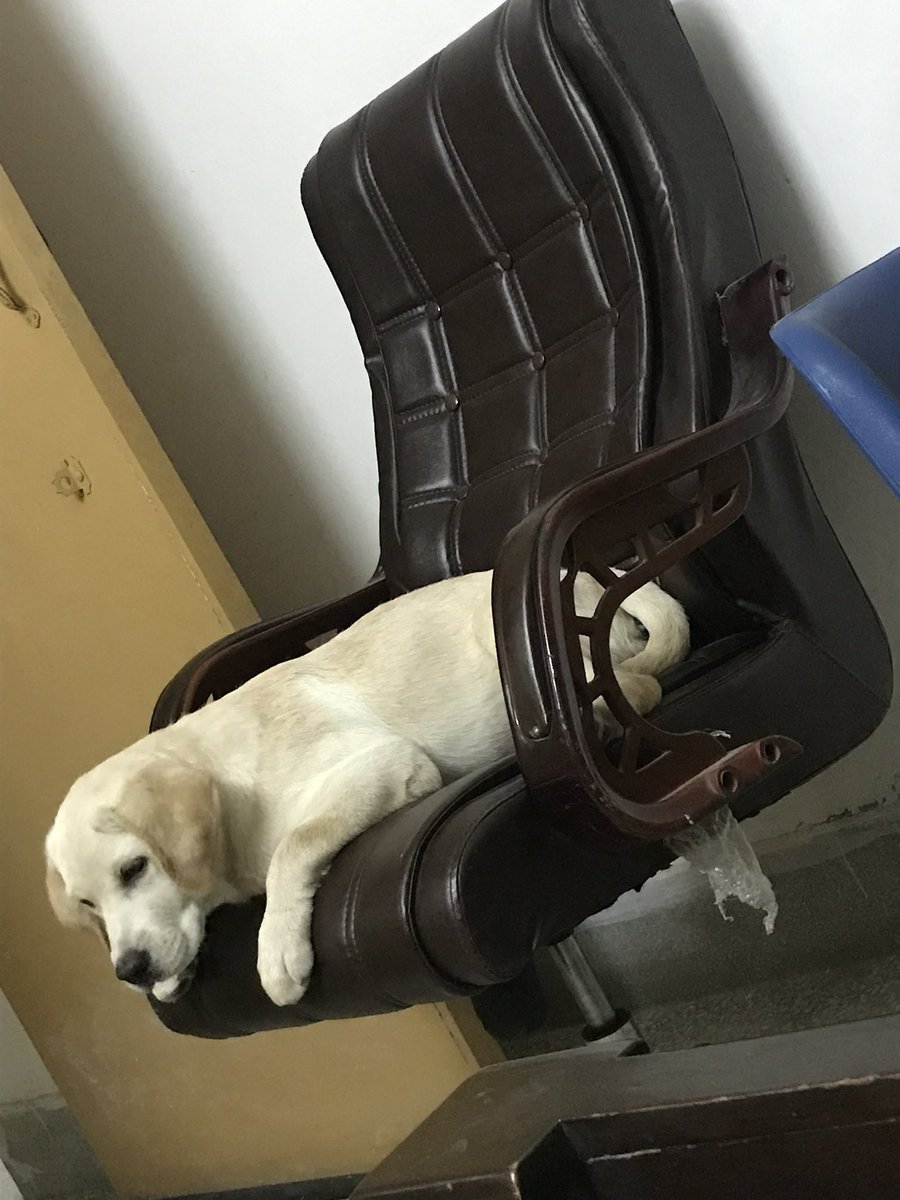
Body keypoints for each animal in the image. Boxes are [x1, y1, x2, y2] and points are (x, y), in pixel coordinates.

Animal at [45, 569, 689, 1007]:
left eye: (134, 868)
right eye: (87, 904)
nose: (129, 969)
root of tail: (576, 581)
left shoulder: (386, 763)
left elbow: (294, 845)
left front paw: (277, 949)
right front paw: (172, 973)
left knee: (640, 689)